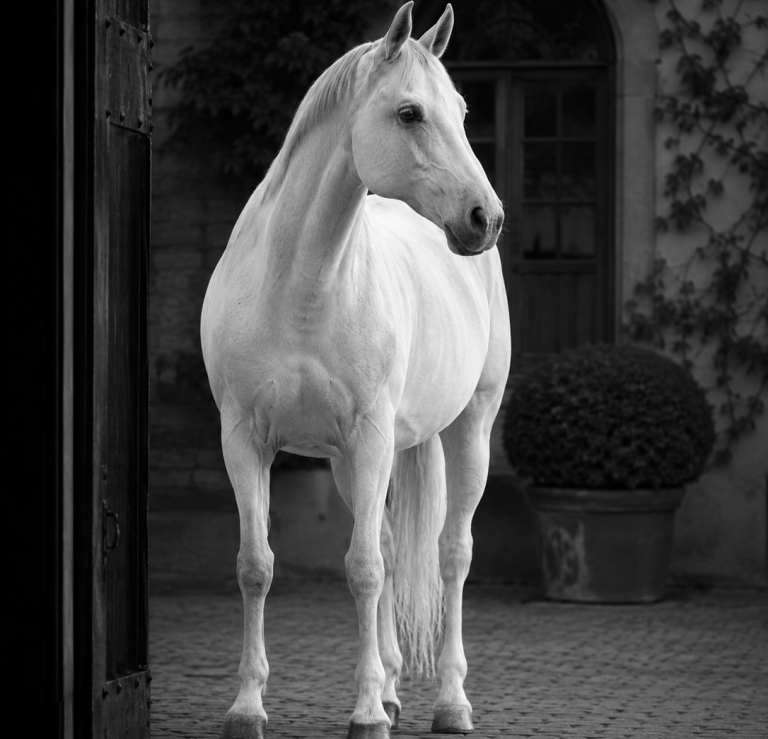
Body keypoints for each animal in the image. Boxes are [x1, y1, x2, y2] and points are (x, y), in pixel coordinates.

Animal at [201, 3, 511, 737]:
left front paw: (366, 712)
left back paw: (451, 701)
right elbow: (256, 565)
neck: (299, 288)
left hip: (469, 429)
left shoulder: (368, 438)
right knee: (398, 547)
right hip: (355, 460)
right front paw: (246, 706)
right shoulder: (245, 440)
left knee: (452, 553)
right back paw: (397, 687)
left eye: (462, 110)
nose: (486, 218)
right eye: (409, 112)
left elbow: (363, 569)